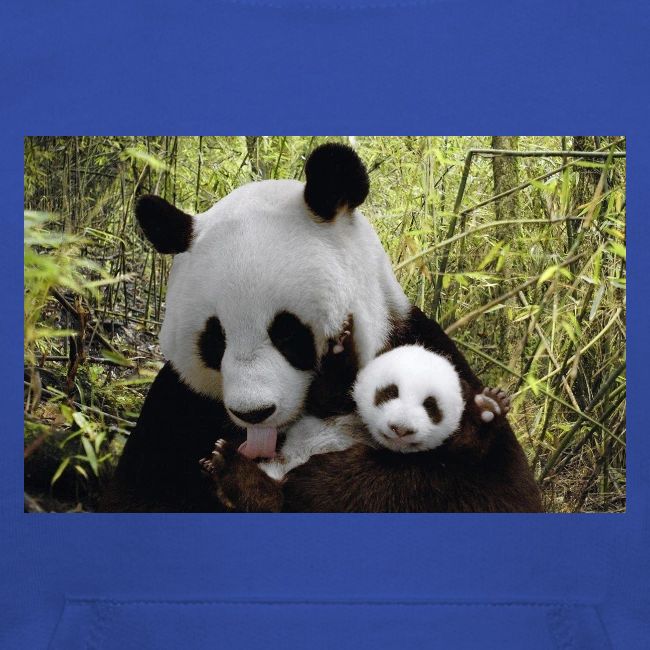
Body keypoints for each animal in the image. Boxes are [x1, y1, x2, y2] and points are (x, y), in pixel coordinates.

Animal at [100, 143, 541, 513]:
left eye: (287, 333)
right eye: (215, 340)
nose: (254, 413)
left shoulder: (422, 347)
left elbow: (491, 489)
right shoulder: (178, 405)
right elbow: (138, 495)